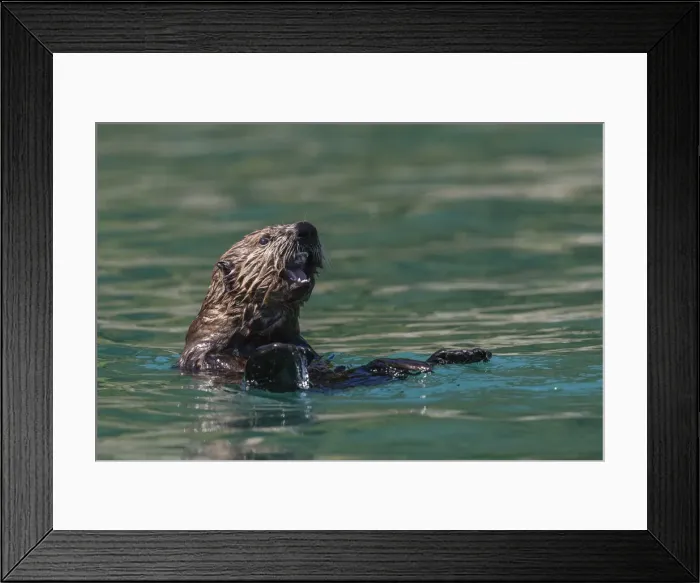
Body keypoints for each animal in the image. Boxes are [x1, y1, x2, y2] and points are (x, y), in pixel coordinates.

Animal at [178, 221, 492, 392]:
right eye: (265, 239)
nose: (306, 229)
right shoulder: (204, 352)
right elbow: (224, 362)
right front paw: (277, 352)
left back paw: (465, 353)